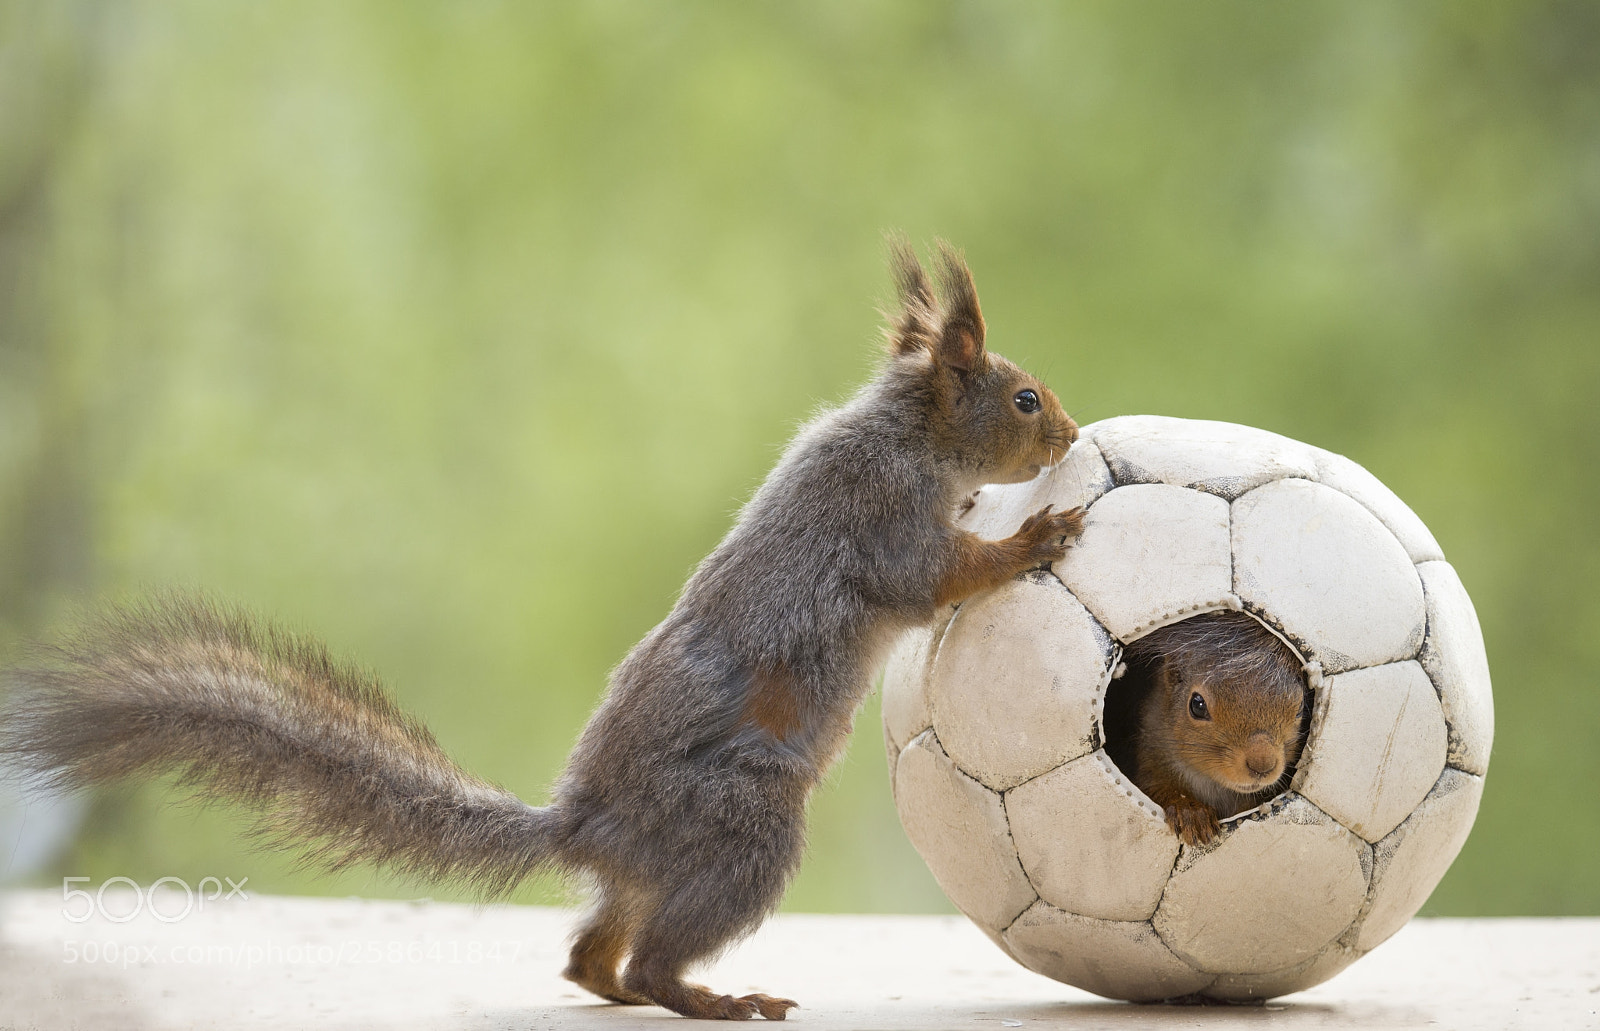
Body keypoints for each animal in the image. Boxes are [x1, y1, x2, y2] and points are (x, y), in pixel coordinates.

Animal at [0, 240, 1083, 1021]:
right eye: (1024, 397)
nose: (1070, 437)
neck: (908, 434)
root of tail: (591, 825)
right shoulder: (882, 518)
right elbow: (939, 574)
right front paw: (1036, 533)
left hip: (666, 865)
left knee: (587, 953)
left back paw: (621, 981)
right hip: (741, 826)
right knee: (648, 959)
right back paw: (712, 996)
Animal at [1119, 611, 1310, 846]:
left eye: (1300, 707)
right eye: (1197, 705)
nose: (1262, 765)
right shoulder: (1150, 752)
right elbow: (1157, 787)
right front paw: (1190, 813)